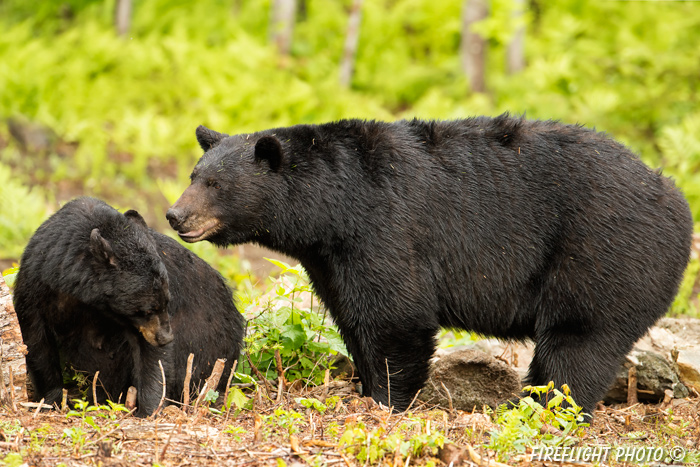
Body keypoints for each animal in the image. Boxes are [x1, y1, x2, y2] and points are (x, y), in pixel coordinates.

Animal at [13, 197, 246, 416]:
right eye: (146, 309)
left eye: (167, 302)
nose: (166, 337)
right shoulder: (35, 284)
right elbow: (36, 340)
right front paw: (53, 400)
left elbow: (151, 356)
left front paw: (150, 410)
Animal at [165, 115, 696, 414]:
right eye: (195, 174)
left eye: (215, 184)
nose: (175, 215)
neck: (333, 210)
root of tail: (676, 200)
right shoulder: (333, 258)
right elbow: (353, 316)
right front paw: (366, 388)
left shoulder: (386, 228)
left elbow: (396, 316)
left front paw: (387, 400)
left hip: (603, 253)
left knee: (578, 342)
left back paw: (549, 408)